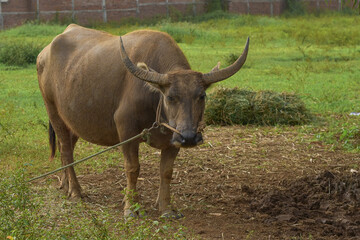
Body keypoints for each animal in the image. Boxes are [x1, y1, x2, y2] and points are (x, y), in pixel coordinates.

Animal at [37, 24, 250, 219]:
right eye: (170, 97)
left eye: (202, 96)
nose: (189, 137)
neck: (154, 100)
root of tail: (44, 54)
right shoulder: (126, 131)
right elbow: (133, 168)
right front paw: (131, 207)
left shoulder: (173, 138)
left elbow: (166, 171)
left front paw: (165, 207)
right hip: (53, 111)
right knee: (66, 150)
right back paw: (76, 192)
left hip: (73, 121)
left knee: (67, 149)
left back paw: (65, 185)